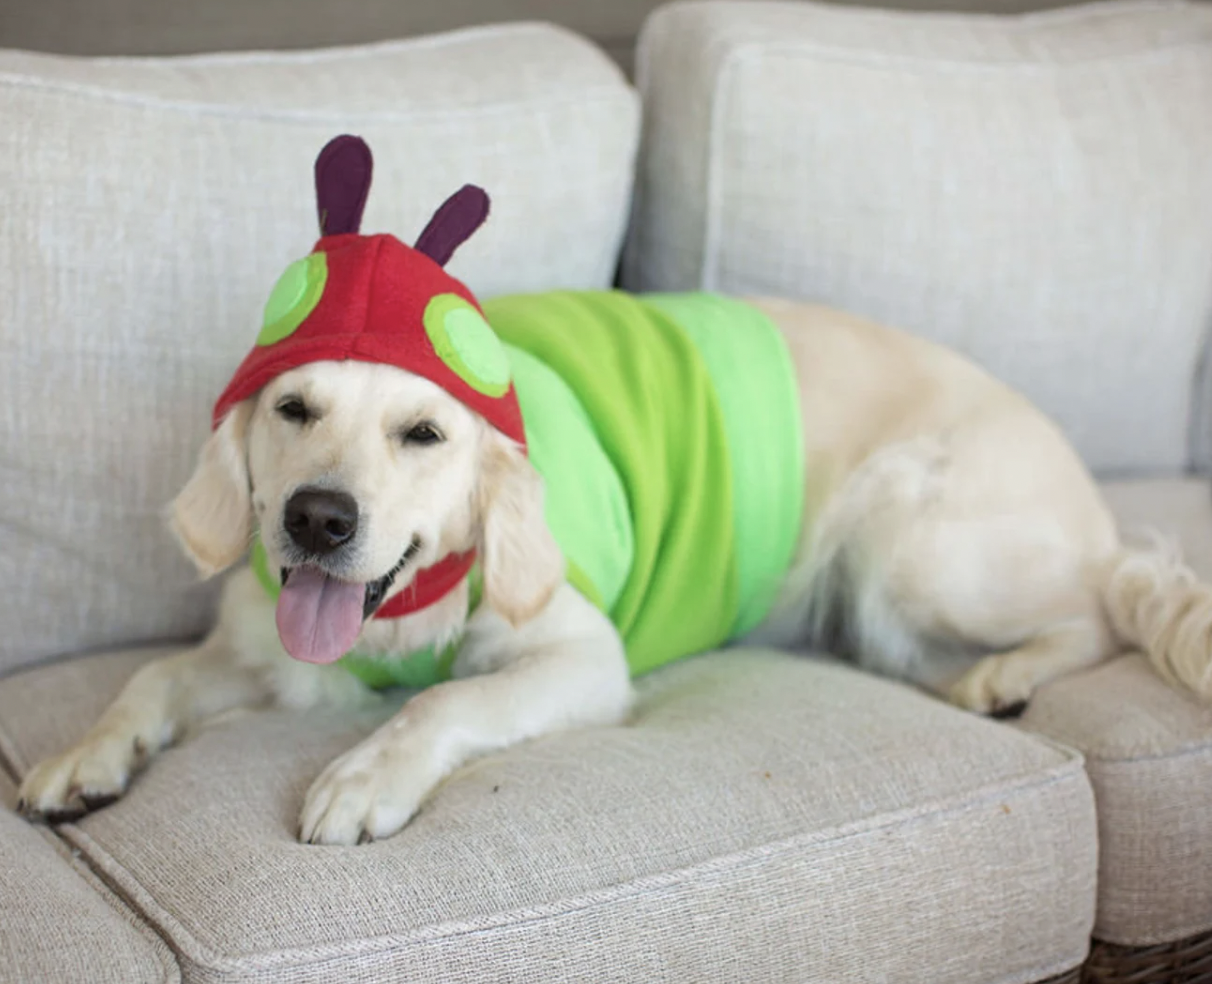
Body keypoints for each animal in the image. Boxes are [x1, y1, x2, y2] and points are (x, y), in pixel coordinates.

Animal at [16, 136, 1212, 843]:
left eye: (424, 432)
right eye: (293, 409)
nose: (318, 518)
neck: (404, 615)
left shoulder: (584, 658)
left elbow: (443, 701)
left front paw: (363, 776)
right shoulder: (259, 645)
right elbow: (150, 680)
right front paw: (83, 754)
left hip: (906, 547)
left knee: (1099, 608)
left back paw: (1007, 675)